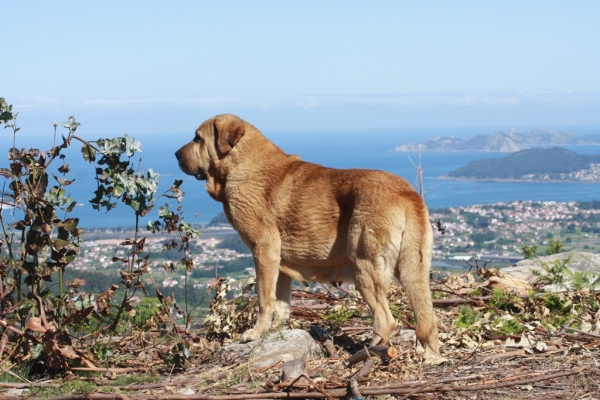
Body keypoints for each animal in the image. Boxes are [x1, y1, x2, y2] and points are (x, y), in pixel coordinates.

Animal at [176, 113, 438, 360]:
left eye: (198, 138)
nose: (176, 153)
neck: (240, 161)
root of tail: (407, 194)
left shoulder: (263, 251)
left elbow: (264, 298)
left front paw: (256, 333)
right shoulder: (278, 263)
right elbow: (281, 302)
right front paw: (277, 329)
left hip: (364, 267)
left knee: (385, 320)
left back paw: (368, 351)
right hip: (413, 270)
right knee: (427, 319)